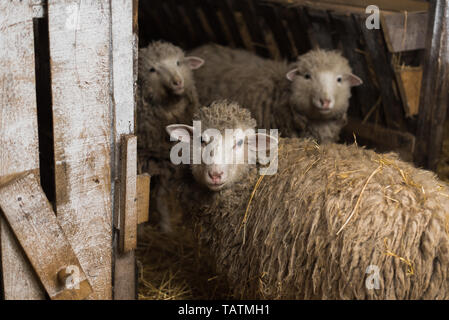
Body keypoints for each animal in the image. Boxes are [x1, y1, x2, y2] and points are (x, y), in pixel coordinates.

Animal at [136, 41, 205, 231]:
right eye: (152, 69)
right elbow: (140, 195)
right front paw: (140, 230)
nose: (177, 82)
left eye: (178, 63)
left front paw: (167, 228)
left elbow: (161, 197)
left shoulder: (169, 162)